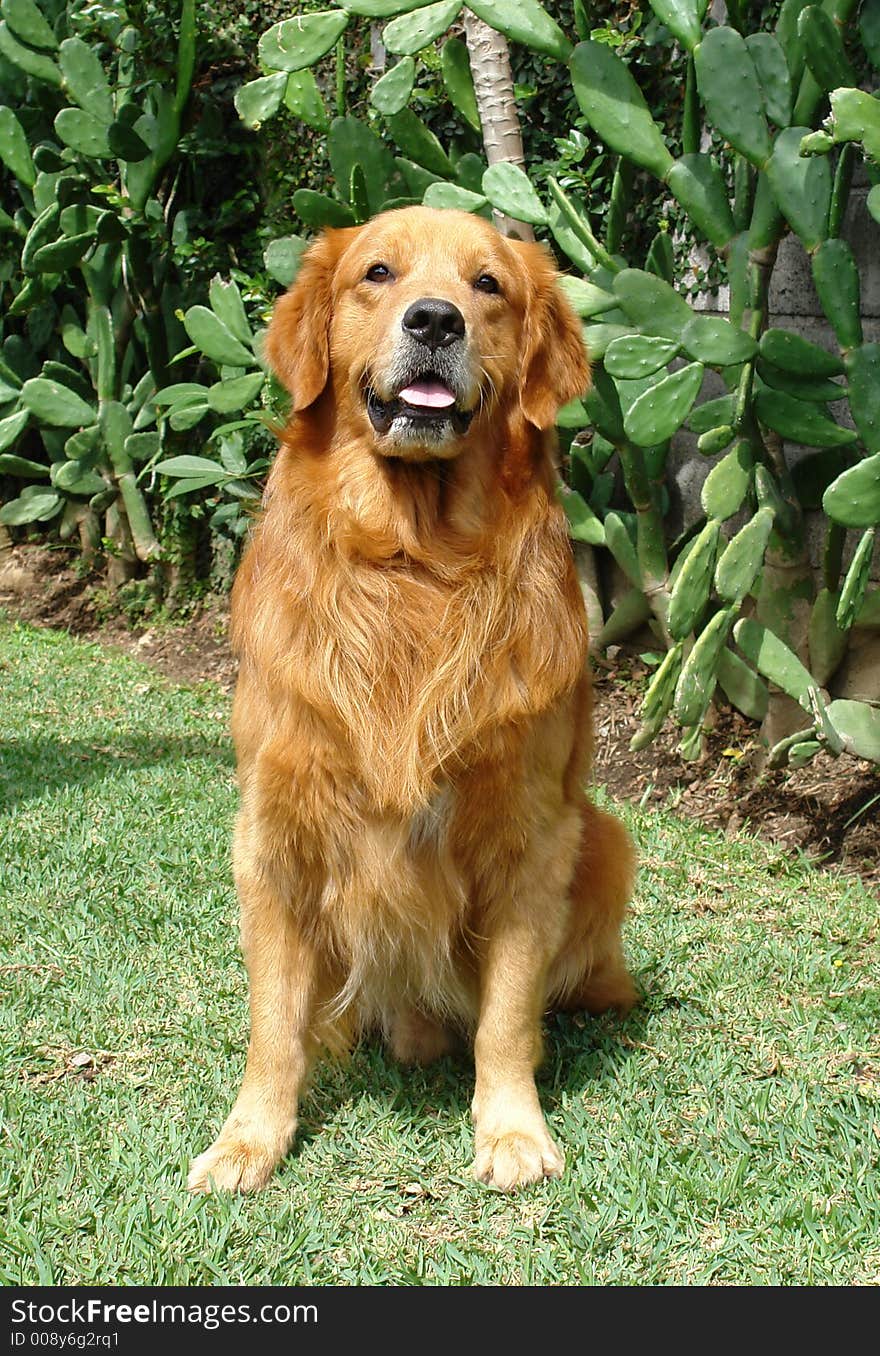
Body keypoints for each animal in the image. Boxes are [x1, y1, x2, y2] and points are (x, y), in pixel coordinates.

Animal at [188, 206, 634, 1193]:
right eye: (378, 273)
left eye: (488, 284)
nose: (434, 321)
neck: (412, 564)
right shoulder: (273, 831)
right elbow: (273, 1024)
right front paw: (249, 1138)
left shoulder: (530, 833)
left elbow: (506, 1014)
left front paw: (511, 1128)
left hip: (607, 839)